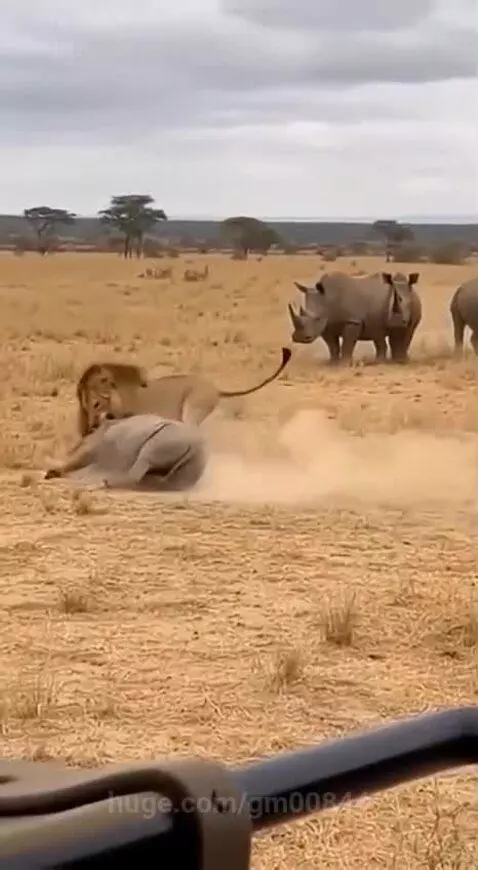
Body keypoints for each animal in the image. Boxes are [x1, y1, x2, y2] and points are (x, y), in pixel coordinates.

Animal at [44, 413, 208, 491]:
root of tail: (195, 446)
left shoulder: (91, 450)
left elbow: (76, 461)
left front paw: (51, 473)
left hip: (167, 437)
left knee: (144, 460)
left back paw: (102, 484)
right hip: (195, 458)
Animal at [287, 271, 422, 364]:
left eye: (317, 318)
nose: (299, 338)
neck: (328, 299)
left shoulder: (353, 321)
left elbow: (347, 343)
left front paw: (344, 364)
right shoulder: (327, 325)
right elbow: (332, 345)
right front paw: (332, 363)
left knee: (405, 331)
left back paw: (396, 361)